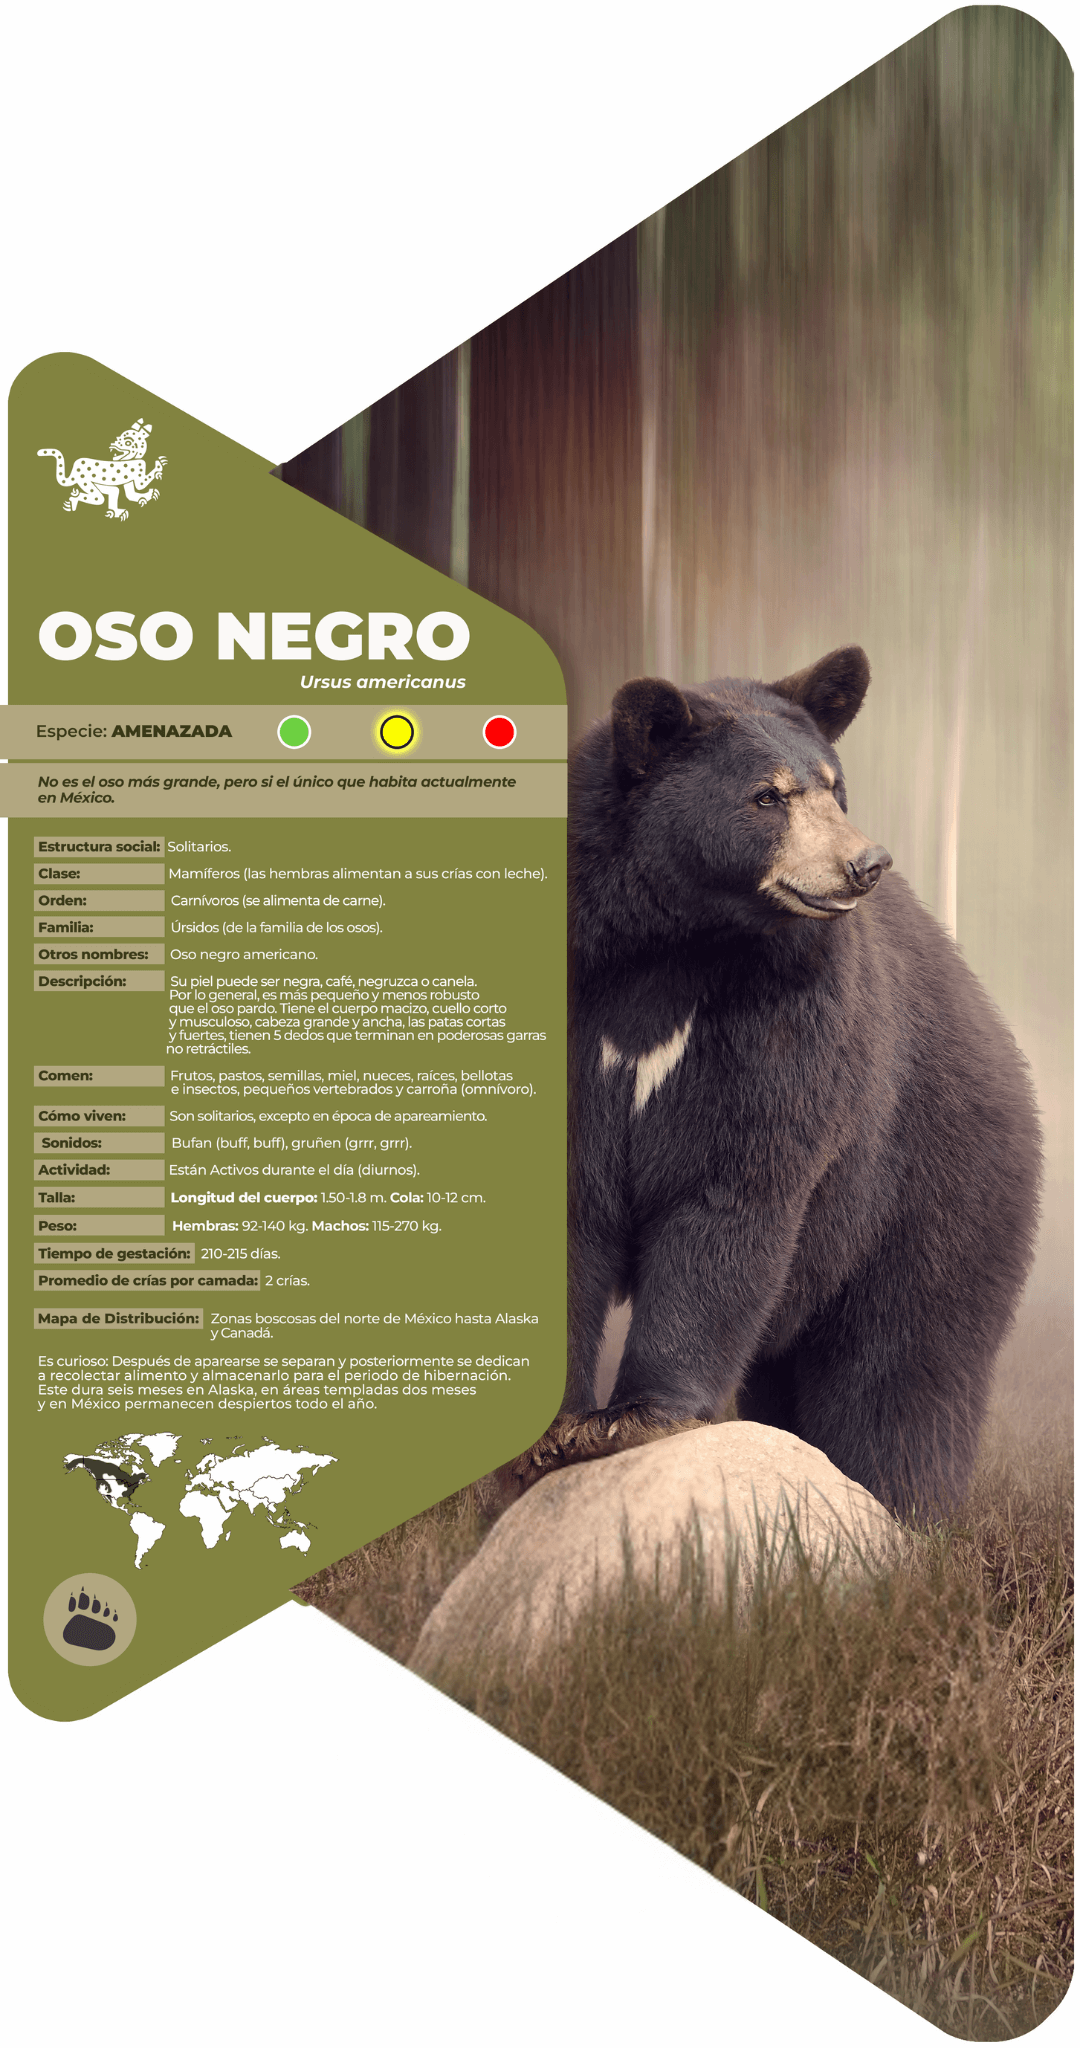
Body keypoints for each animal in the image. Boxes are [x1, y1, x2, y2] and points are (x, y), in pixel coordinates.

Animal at [545, 645, 1041, 1521]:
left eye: (834, 786)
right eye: (767, 795)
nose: (864, 863)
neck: (674, 943)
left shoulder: (788, 1017)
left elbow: (735, 1191)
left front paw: (637, 1415)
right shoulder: (579, 1002)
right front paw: (557, 1428)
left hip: (932, 1187)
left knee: (902, 1364)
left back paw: (904, 1504)